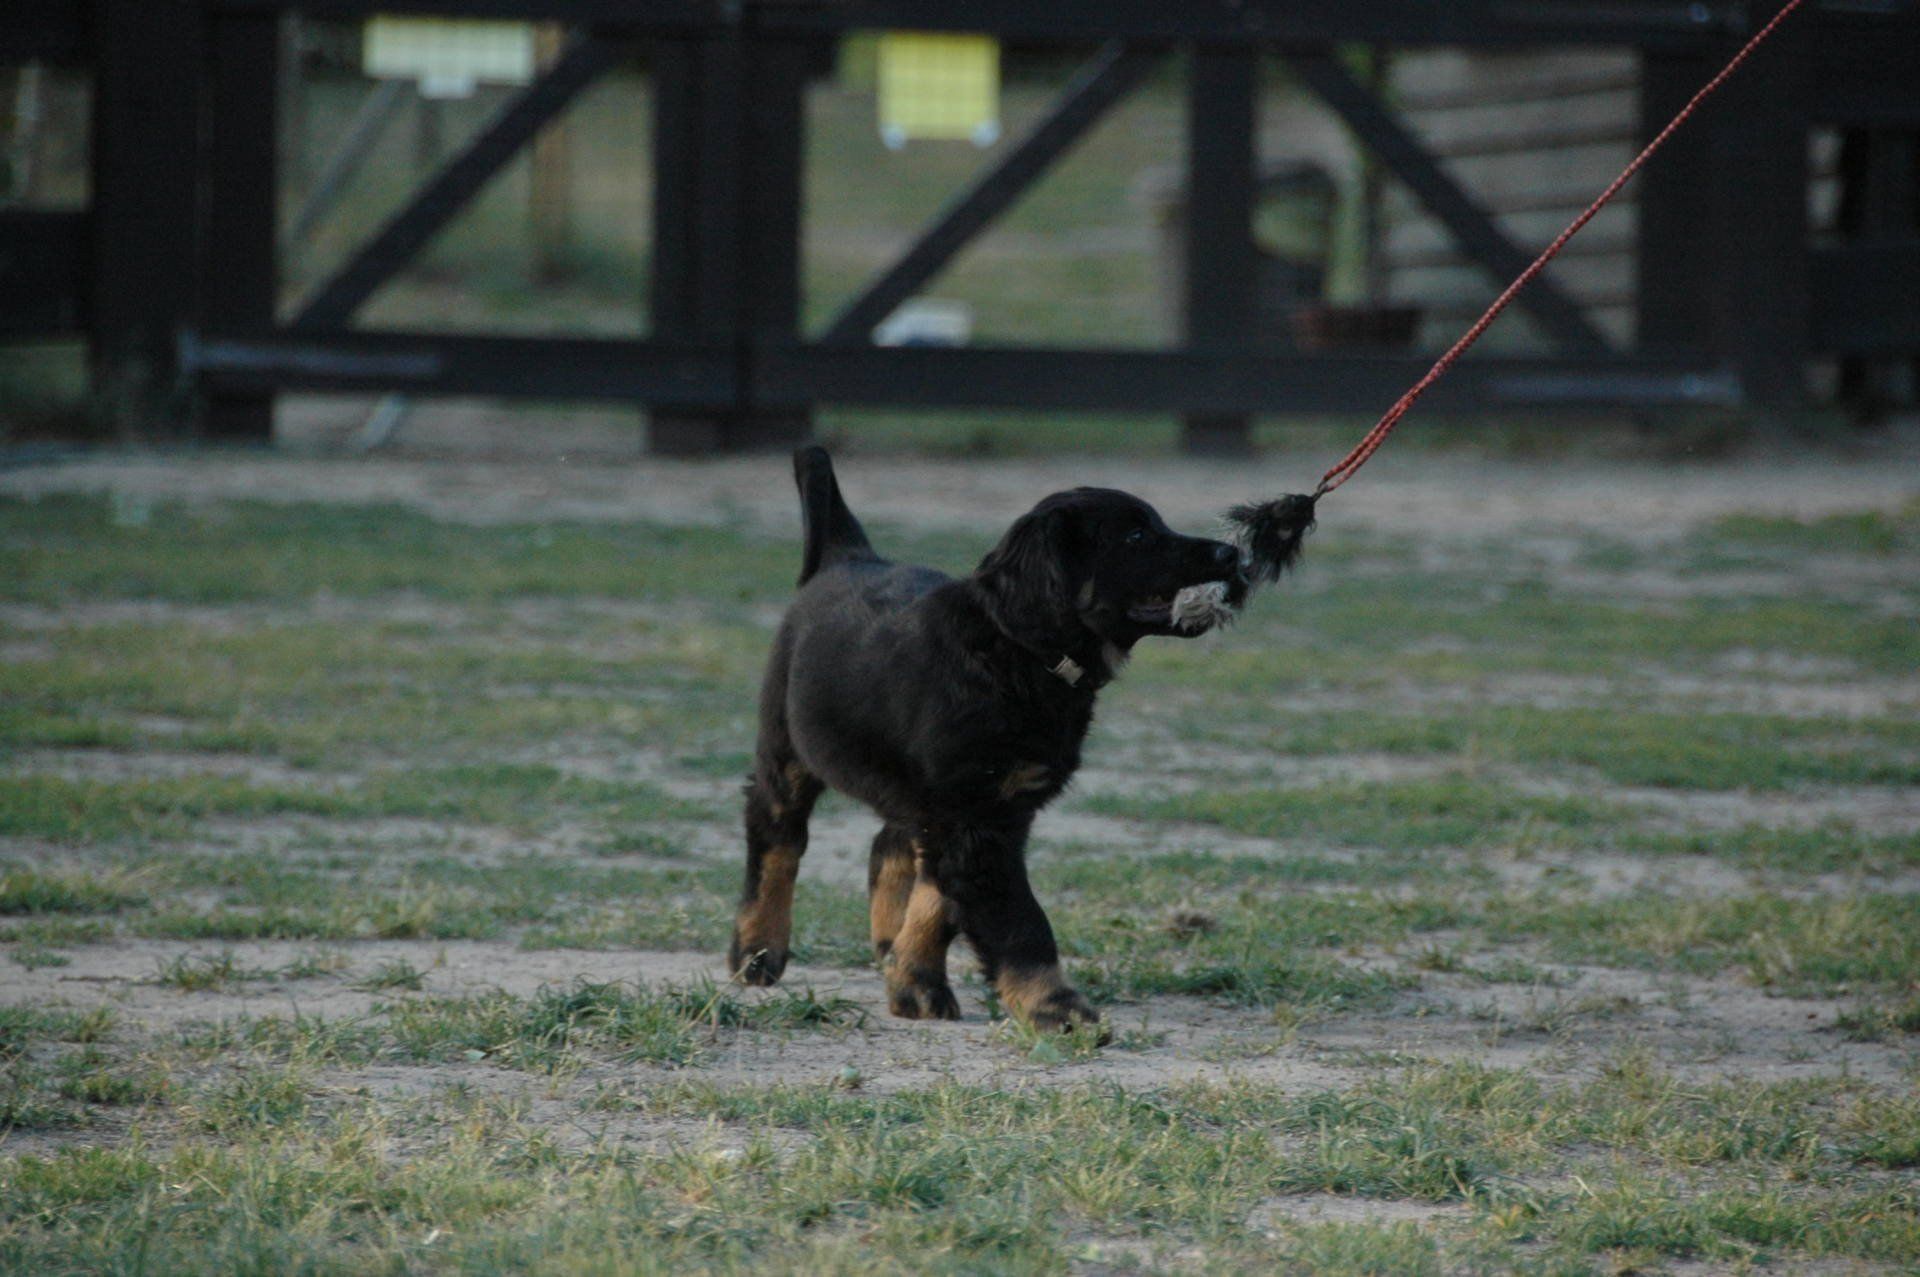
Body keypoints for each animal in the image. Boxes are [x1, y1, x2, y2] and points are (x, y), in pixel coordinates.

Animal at [727, 447, 1246, 1032]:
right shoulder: (974, 819)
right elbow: (1020, 921)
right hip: (787, 749)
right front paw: (1055, 1006)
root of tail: (847, 555)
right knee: (777, 837)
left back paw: (887, 942)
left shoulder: (990, 810)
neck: (1016, 651)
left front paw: (914, 982)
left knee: (891, 843)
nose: (1230, 553)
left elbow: (940, 901)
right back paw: (758, 949)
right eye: (1136, 536)